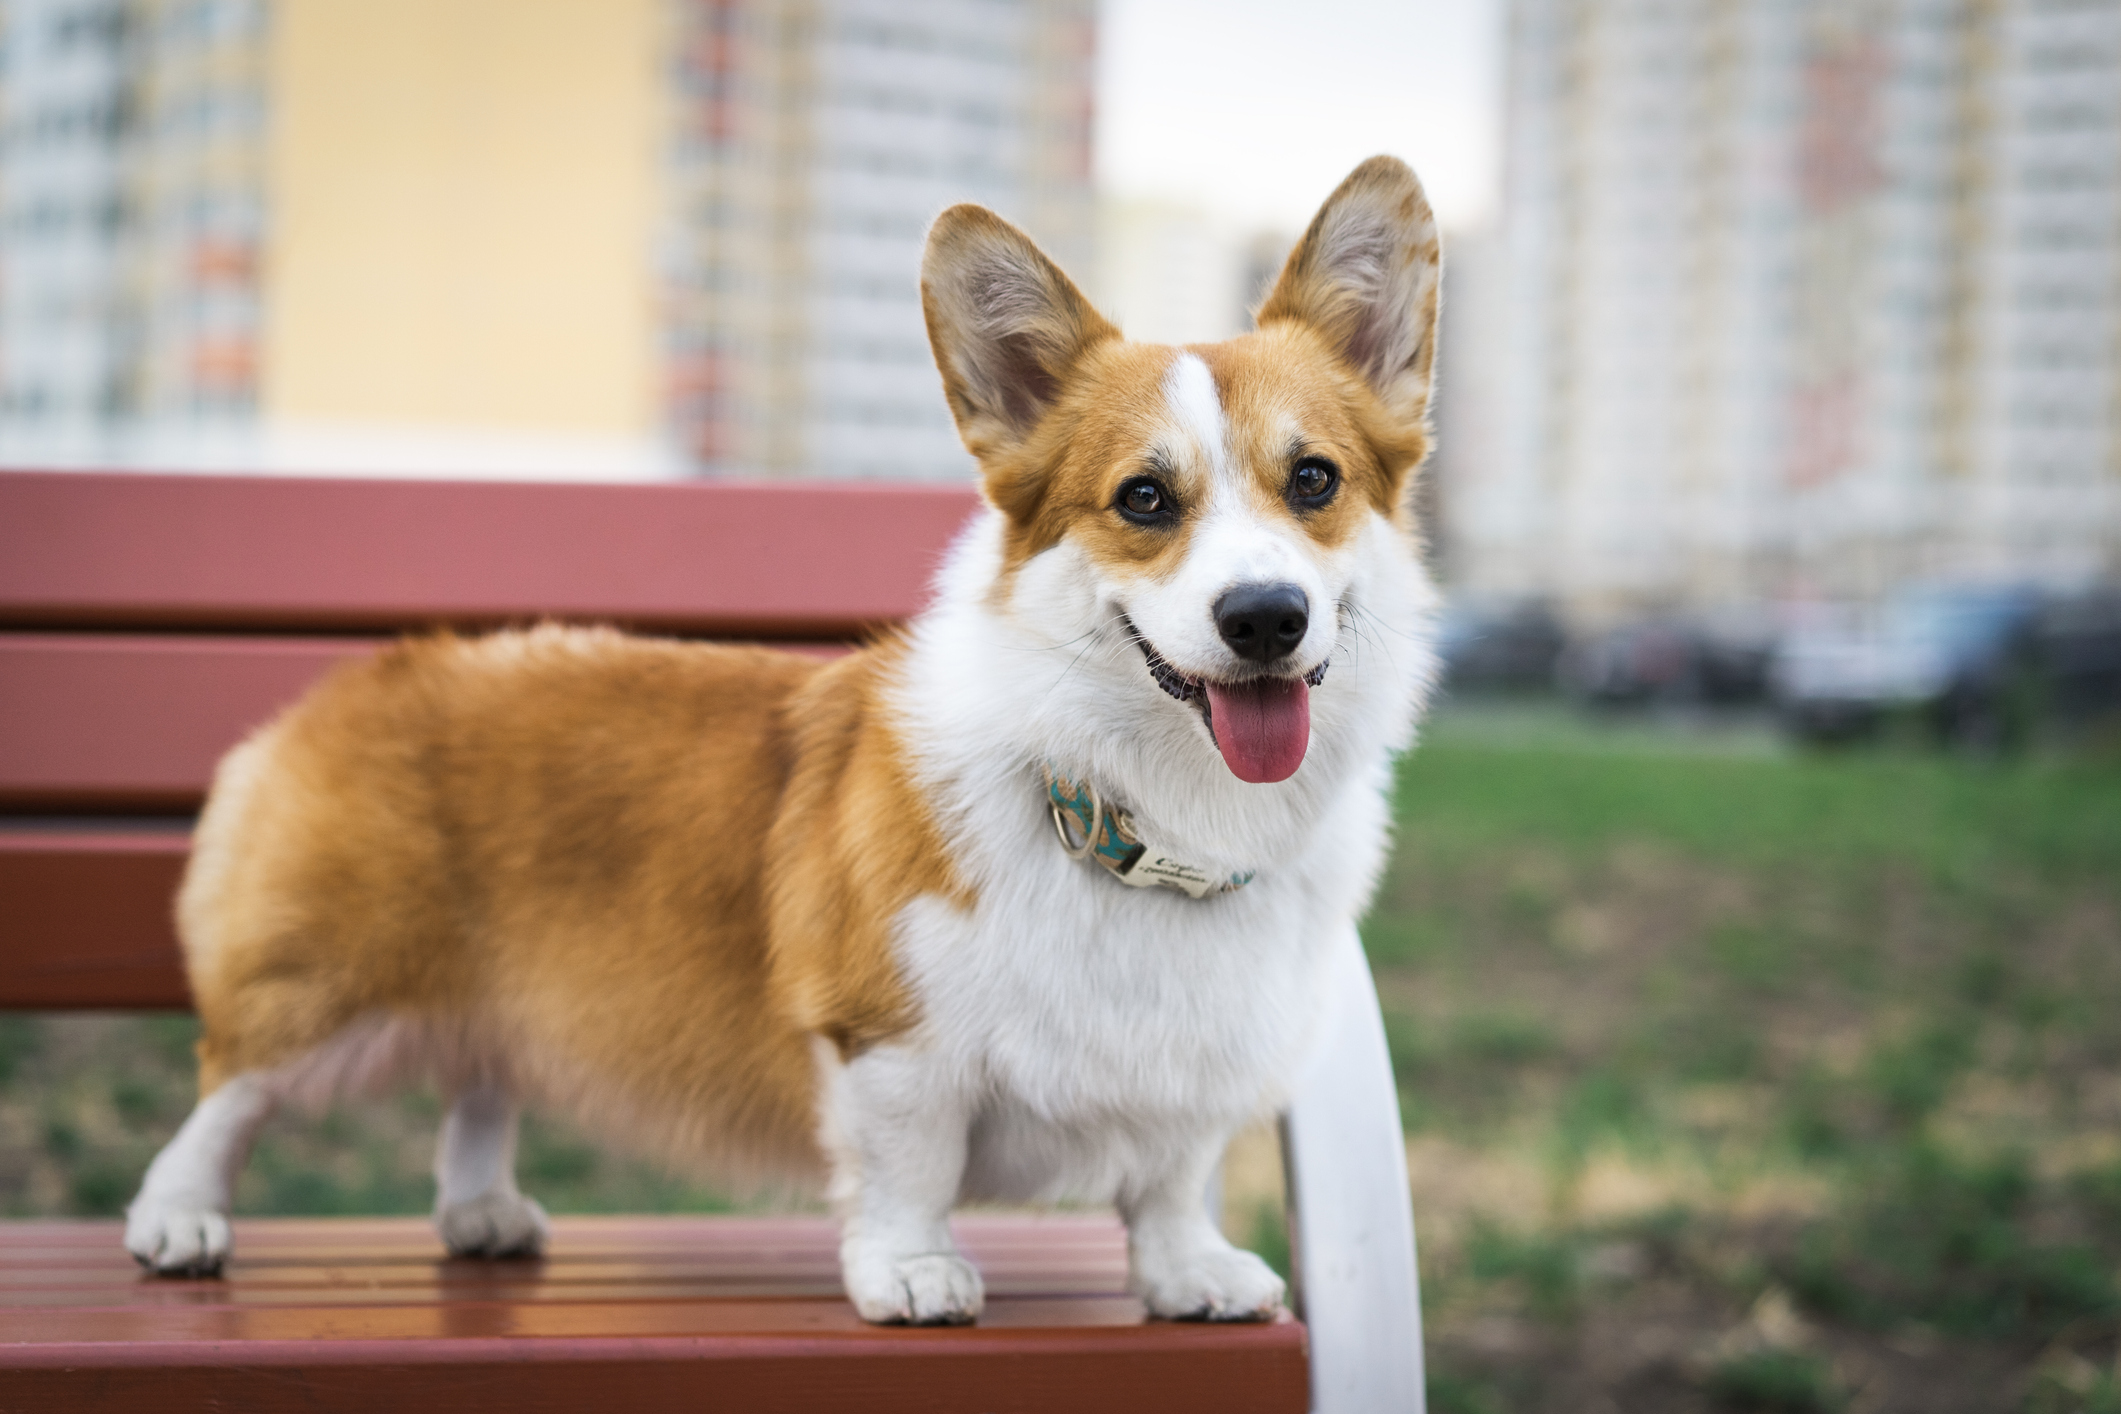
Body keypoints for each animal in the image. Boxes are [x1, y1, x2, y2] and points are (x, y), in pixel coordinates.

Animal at [128, 154, 1442, 1331]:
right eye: (1144, 500)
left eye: (1313, 479)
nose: (1265, 616)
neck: (1145, 815)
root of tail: (367, 673)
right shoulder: (886, 1035)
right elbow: (911, 1163)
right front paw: (914, 1274)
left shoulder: (1199, 1067)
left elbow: (1171, 1177)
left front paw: (1188, 1276)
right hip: (326, 985)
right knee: (226, 1083)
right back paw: (178, 1218)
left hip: (502, 998)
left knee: (481, 1082)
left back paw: (481, 1209)